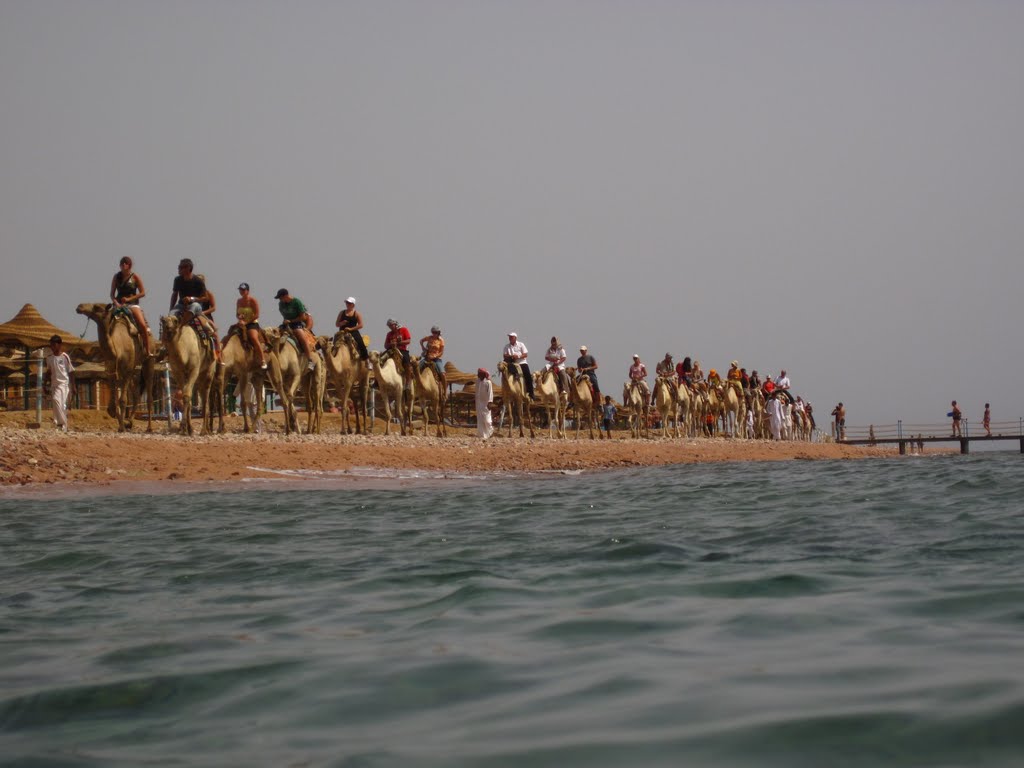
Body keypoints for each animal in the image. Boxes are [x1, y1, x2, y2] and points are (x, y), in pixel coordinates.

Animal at [77, 301, 155, 434]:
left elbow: (122, 401)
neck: (117, 349)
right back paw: (130, 422)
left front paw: (122, 426)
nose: (80, 306)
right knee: (136, 395)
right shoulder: (111, 372)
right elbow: (112, 406)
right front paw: (124, 423)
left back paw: (149, 427)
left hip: (148, 361)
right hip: (132, 369)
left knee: (148, 393)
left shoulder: (126, 371)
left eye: (97, 307)